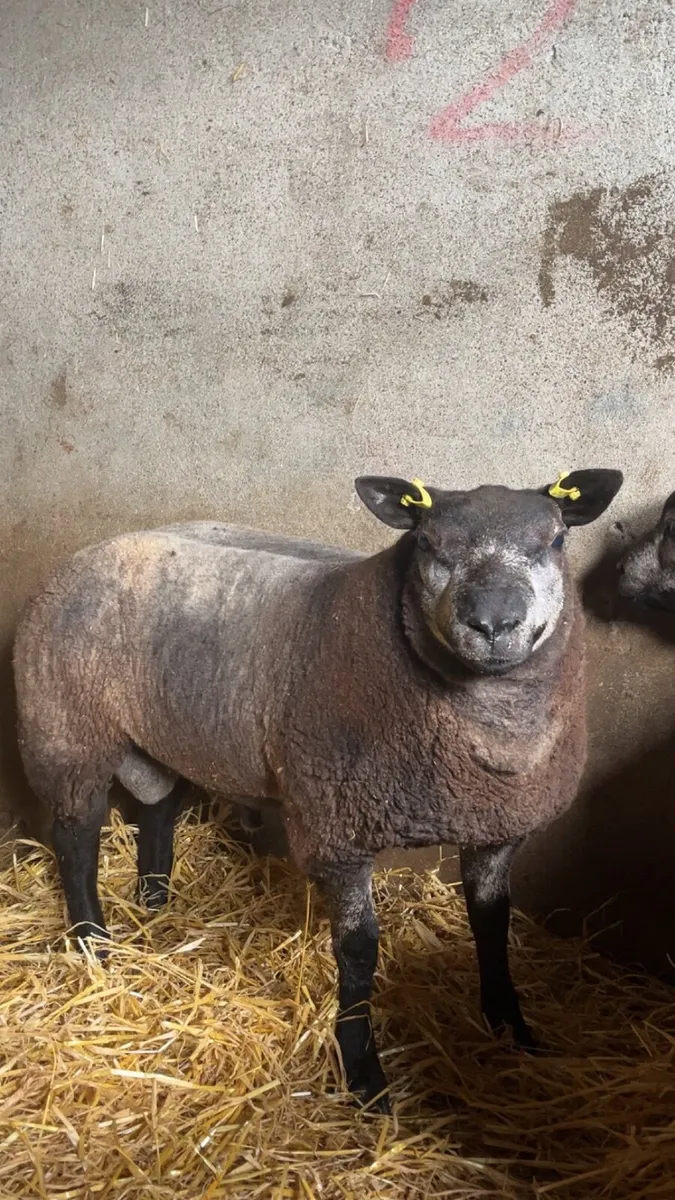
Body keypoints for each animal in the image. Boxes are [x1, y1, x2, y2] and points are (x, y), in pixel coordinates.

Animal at [14, 469, 623, 1111]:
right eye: (427, 543)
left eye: (556, 539)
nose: (493, 622)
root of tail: (88, 551)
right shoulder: (338, 829)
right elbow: (358, 949)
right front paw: (363, 1072)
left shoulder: (498, 826)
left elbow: (492, 922)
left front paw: (512, 1028)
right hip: (65, 729)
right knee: (75, 839)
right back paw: (92, 942)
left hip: (154, 734)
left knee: (157, 810)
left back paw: (155, 904)